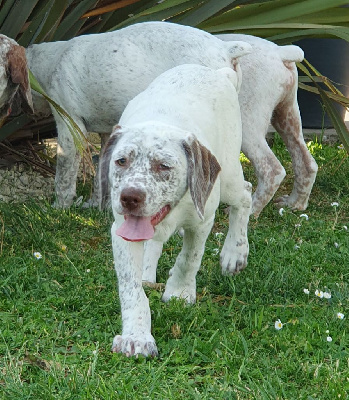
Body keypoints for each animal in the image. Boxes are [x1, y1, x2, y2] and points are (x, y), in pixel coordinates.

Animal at [99, 64, 251, 358]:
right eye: (121, 161)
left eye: (164, 166)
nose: (129, 197)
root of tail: (217, 71)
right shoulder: (121, 231)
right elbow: (131, 289)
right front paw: (136, 335)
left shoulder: (202, 221)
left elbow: (189, 258)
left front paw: (180, 292)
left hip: (228, 177)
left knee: (246, 195)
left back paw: (234, 253)